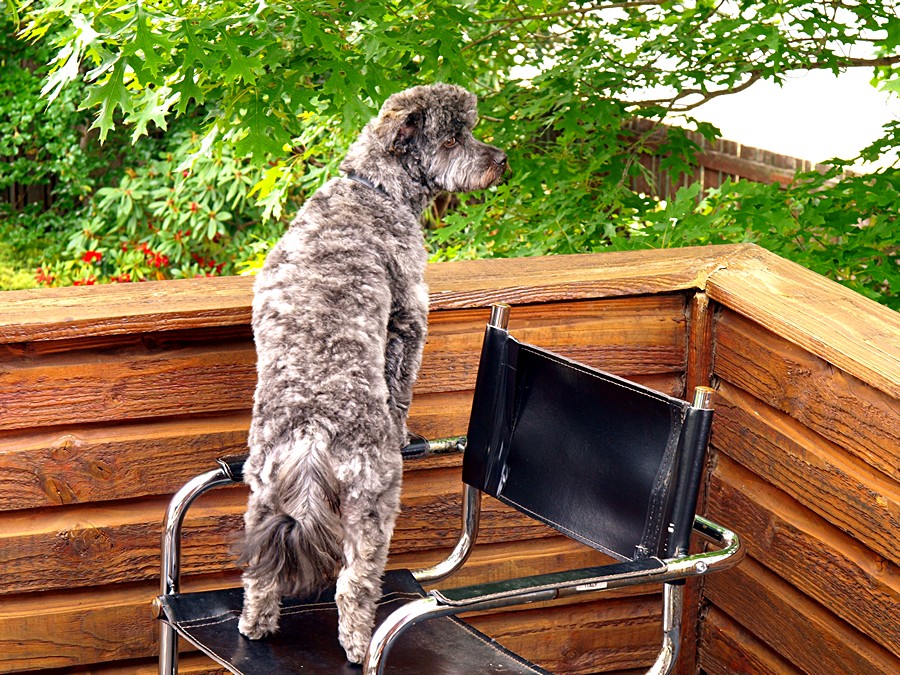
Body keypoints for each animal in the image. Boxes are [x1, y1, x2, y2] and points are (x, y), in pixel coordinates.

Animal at [237, 83, 506, 664]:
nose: (500, 159)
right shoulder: (408, 318)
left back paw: (255, 625)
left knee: (262, 572)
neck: (372, 189)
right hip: (372, 504)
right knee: (353, 583)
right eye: (453, 139)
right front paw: (405, 428)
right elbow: (401, 388)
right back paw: (359, 643)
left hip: (263, 498)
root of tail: (313, 431)